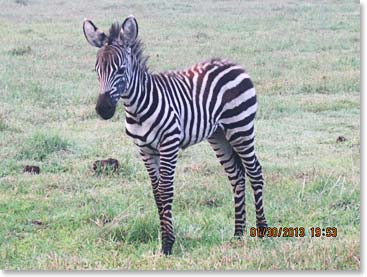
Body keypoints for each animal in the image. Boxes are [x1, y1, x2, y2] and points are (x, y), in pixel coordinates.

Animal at [82, 15, 268, 254]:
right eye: (96, 70)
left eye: (121, 70)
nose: (103, 110)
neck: (137, 108)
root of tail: (233, 64)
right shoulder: (145, 151)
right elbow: (157, 194)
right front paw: (165, 241)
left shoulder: (169, 145)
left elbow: (166, 191)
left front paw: (168, 244)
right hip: (219, 136)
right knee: (236, 175)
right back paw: (238, 234)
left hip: (241, 128)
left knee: (255, 171)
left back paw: (262, 231)